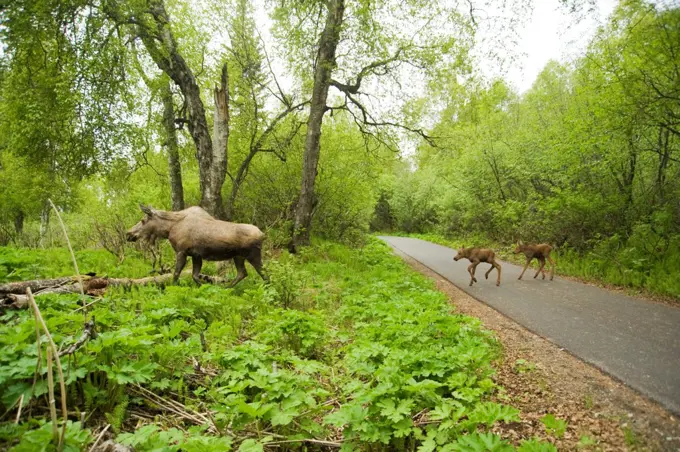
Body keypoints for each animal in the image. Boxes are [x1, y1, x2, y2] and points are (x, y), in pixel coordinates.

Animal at [126, 205, 266, 286]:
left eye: (143, 220)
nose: (128, 233)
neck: (169, 229)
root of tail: (262, 234)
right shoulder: (196, 255)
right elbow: (195, 276)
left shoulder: (181, 251)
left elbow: (176, 274)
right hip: (238, 256)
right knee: (242, 273)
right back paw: (227, 288)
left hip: (252, 254)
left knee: (263, 273)